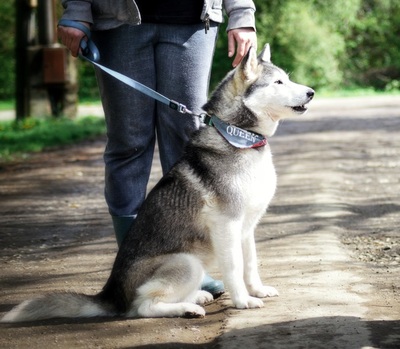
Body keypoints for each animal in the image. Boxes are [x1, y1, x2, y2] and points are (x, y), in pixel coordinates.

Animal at [0, 44, 312, 320]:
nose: (311, 92)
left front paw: (257, 290)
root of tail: (110, 295)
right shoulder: (228, 225)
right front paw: (243, 301)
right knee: (143, 307)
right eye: (278, 82)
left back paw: (196, 296)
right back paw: (187, 308)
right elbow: (235, 269)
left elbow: (250, 265)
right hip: (186, 261)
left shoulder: (247, 226)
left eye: (287, 78)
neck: (239, 138)